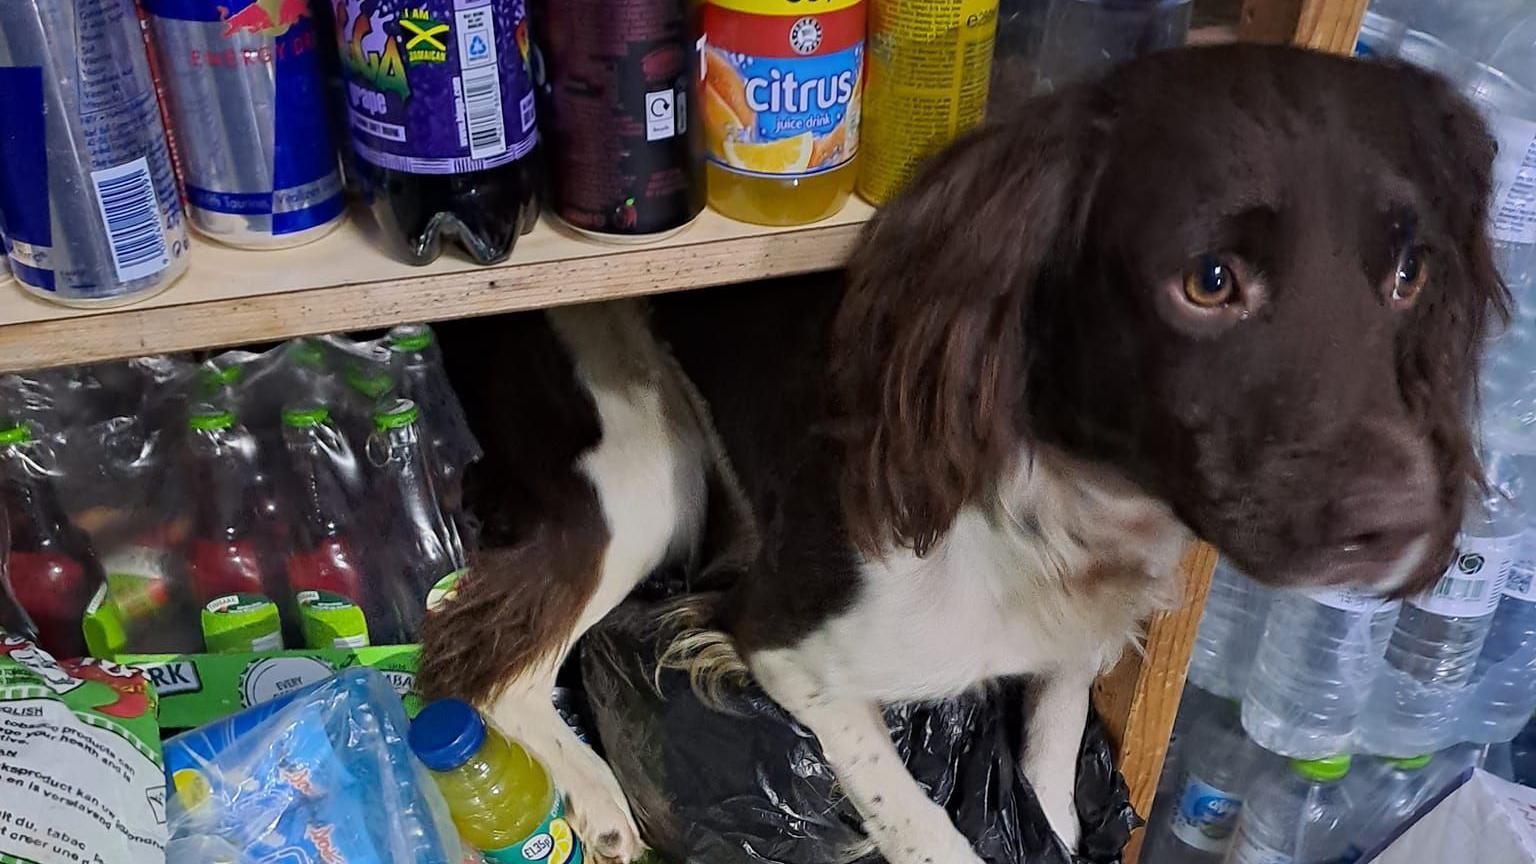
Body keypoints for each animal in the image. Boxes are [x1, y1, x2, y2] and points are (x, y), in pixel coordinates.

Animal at [427, 45, 1505, 860]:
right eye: (1209, 279)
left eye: (1410, 272)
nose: (1414, 528)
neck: (1065, 508)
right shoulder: (784, 639)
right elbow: (926, 827)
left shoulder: (1079, 637)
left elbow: (1056, 762)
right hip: (643, 473)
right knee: (480, 669)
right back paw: (598, 801)